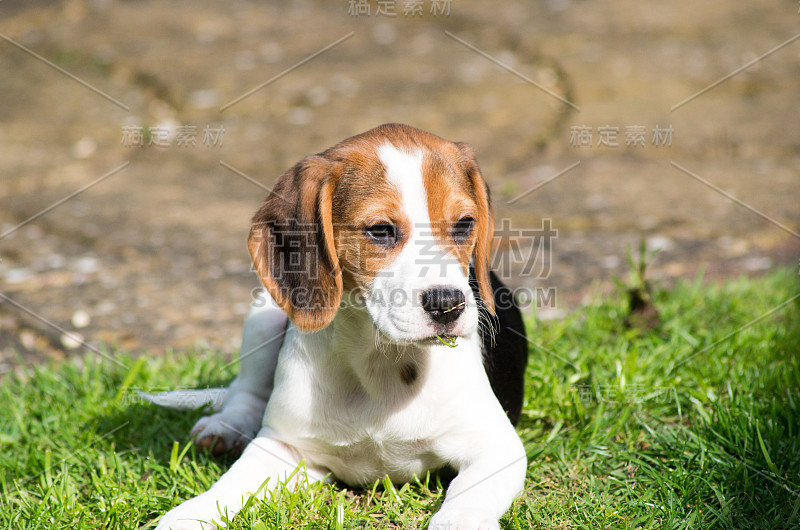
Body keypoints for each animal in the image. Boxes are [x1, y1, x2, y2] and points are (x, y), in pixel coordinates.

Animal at [159, 124, 528, 528]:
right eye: (380, 230)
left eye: (464, 224)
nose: (448, 305)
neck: (379, 359)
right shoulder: (283, 447)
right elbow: (231, 484)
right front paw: (190, 513)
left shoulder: (497, 447)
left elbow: (467, 501)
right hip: (263, 311)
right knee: (247, 390)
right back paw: (225, 426)